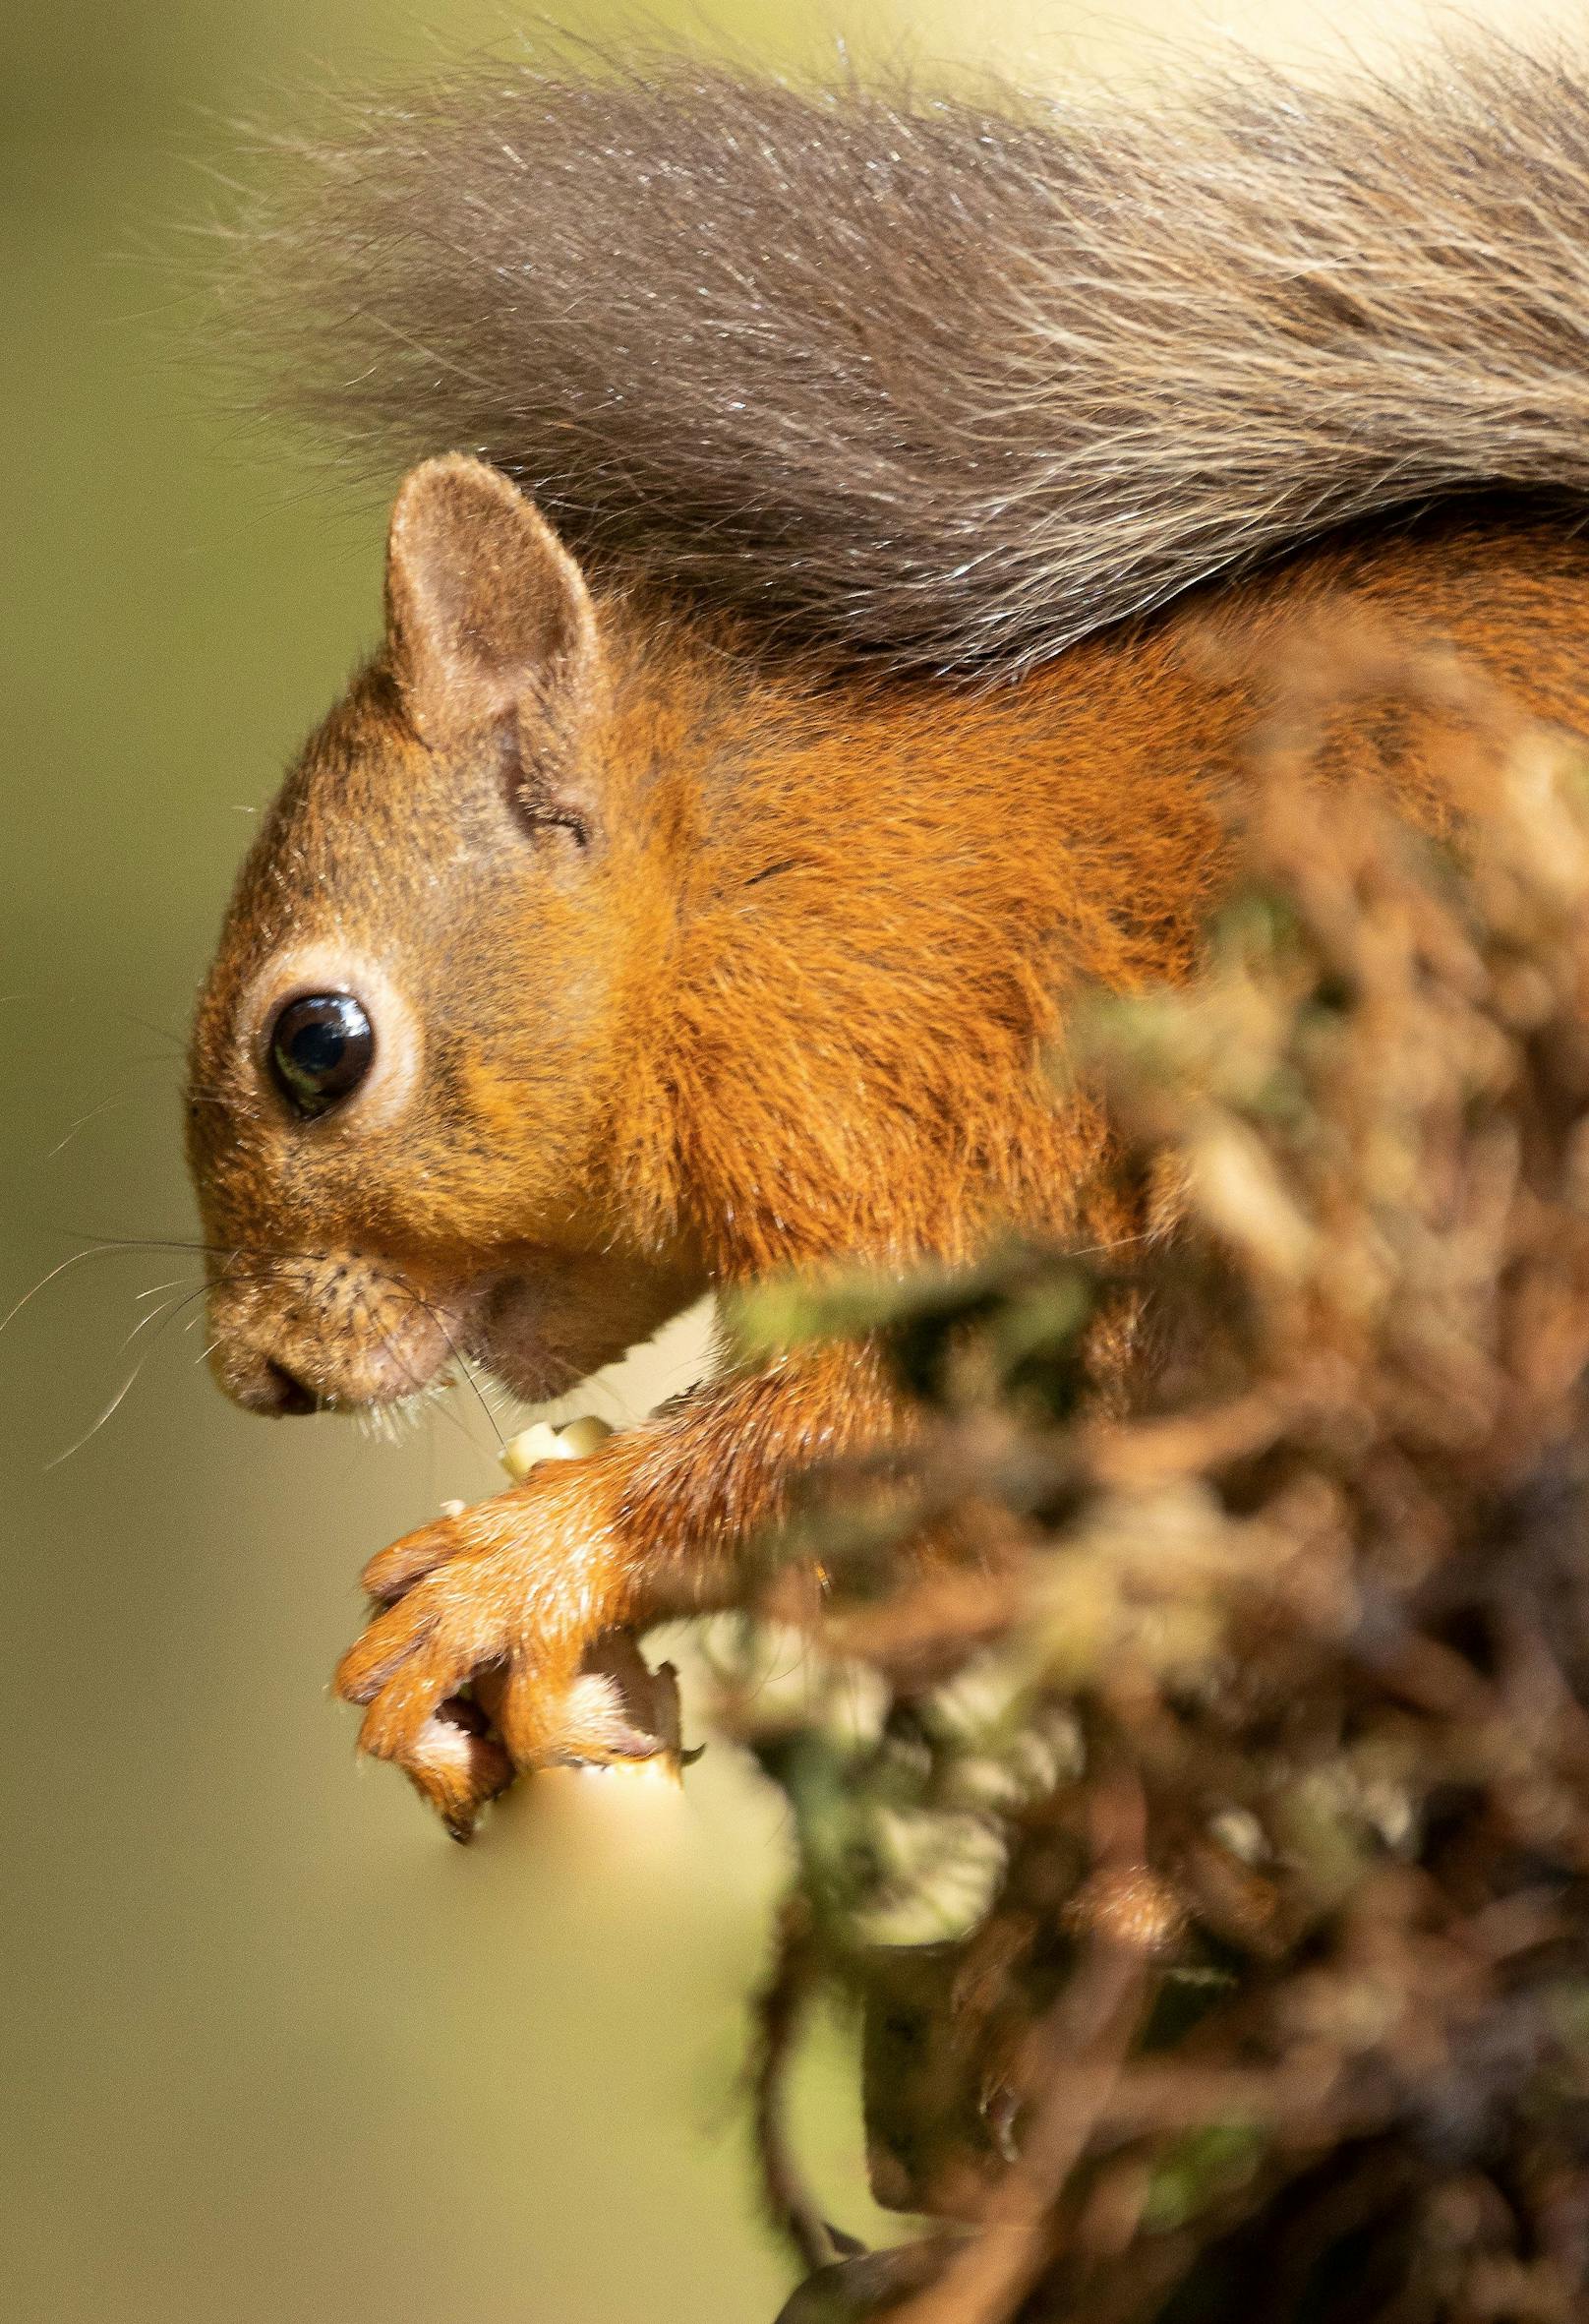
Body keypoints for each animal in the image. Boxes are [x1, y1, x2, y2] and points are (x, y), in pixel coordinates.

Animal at [186, 40, 1589, 1831]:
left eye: (317, 1046)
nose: (260, 1373)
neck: (711, 900)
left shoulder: (867, 1086)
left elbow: (876, 1406)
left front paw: (514, 1566)